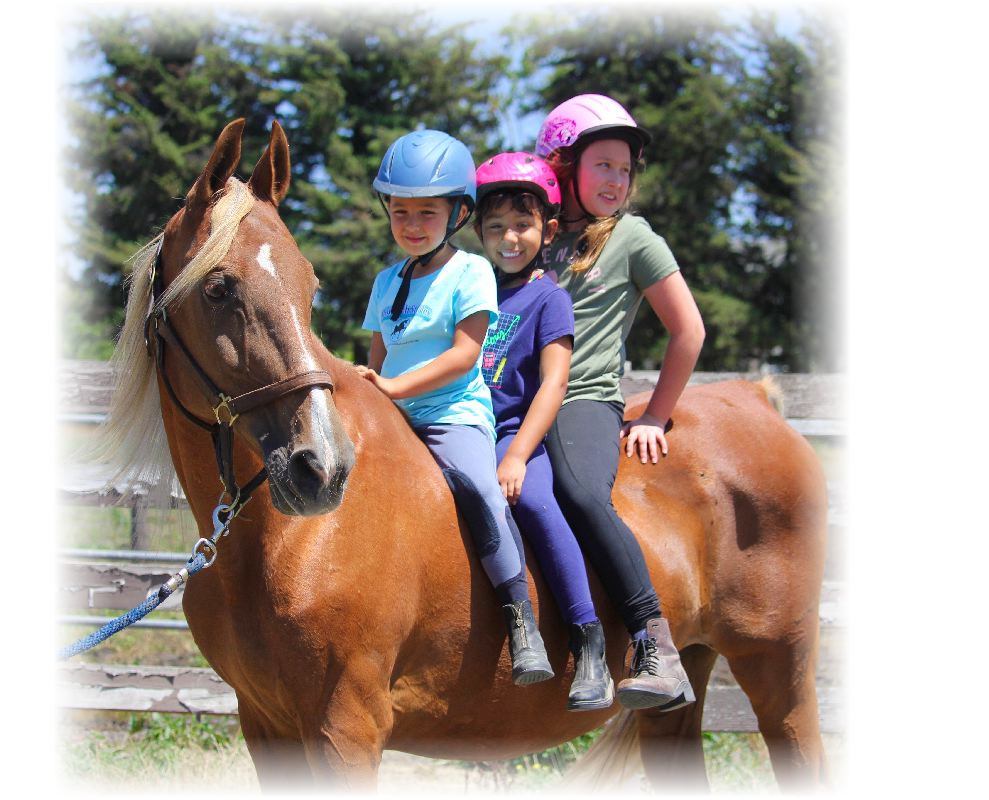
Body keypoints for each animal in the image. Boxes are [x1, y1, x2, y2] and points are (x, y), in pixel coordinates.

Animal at [99, 119, 829, 791]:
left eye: (308, 287)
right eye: (218, 288)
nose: (323, 468)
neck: (286, 543)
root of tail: (758, 399)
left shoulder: (346, 725)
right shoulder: (265, 724)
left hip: (780, 674)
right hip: (682, 697)